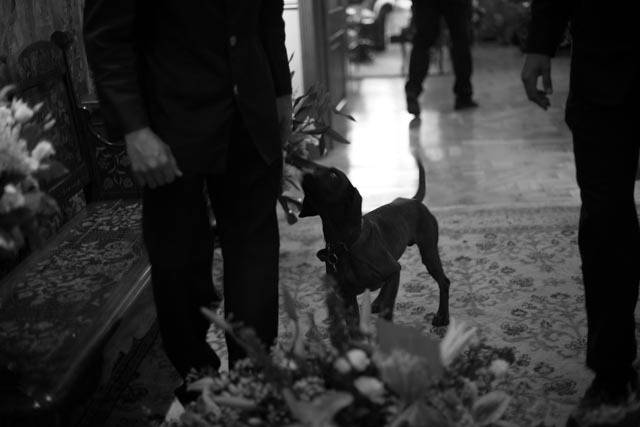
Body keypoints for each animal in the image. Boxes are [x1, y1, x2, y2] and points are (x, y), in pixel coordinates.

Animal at [296, 156, 450, 328]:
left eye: (333, 175)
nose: (302, 167)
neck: (346, 246)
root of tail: (412, 200)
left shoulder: (394, 271)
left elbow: (387, 308)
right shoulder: (347, 296)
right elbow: (354, 326)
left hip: (429, 253)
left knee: (444, 282)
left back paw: (442, 316)